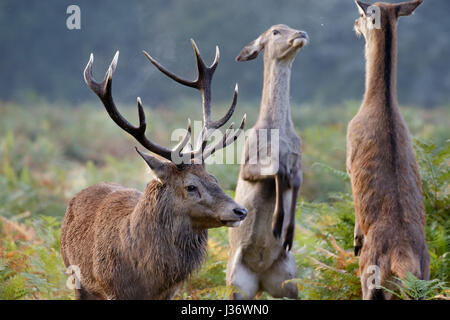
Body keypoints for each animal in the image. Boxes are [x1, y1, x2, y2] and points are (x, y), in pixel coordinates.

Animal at [59, 40, 246, 300]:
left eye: (214, 179)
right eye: (191, 186)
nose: (240, 211)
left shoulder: (170, 292)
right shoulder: (112, 289)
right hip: (75, 275)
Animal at [348, 0, 428, 300]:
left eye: (363, 13)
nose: (355, 23)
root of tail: (401, 258)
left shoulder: (348, 152)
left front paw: (356, 238)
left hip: (369, 276)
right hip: (424, 275)